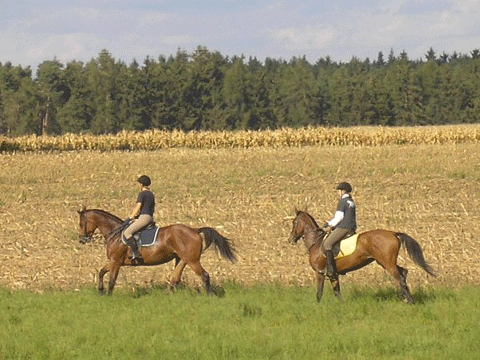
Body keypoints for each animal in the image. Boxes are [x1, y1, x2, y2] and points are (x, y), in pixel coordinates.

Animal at [286, 210, 436, 302]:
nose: (290, 239)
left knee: (400, 278)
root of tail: (393, 233)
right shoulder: (333, 275)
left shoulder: (320, 272)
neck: (316, 243)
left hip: (387, 263)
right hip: (384, 262)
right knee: (403, 272)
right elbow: (337, 292)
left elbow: (319, 292)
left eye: (294, 222)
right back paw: (403, 297)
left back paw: (410, 300)